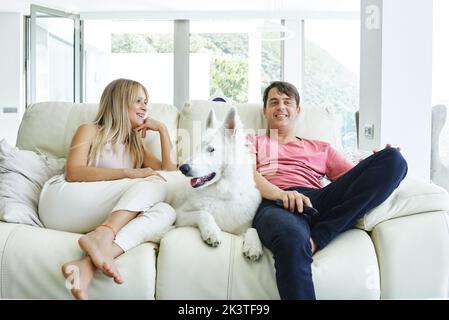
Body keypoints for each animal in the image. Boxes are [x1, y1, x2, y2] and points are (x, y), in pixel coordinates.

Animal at [172, 106, 262, 262]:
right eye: (197, 148)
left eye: (211, 149)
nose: (182, 168)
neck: (222, 196)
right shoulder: (179, 214)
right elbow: (203, 212)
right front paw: (212, 231)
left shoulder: (242, 229)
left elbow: (253, 228)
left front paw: (253, 245)